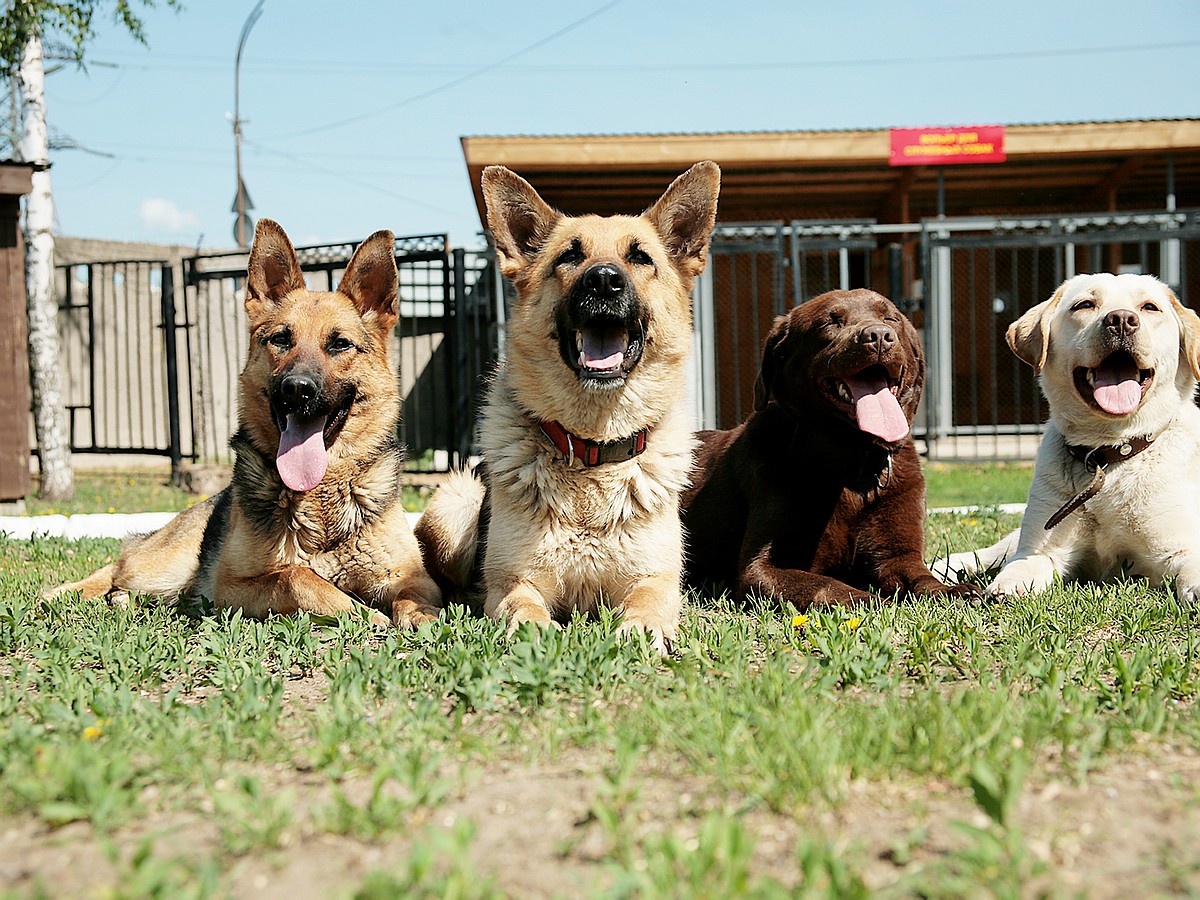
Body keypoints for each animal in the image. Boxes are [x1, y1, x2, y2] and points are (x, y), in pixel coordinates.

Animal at [52, 220, 441, 628]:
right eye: (281, 339)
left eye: (339, 344)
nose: (297, 389)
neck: (320, 498)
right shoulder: (231, 586)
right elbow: (297, 576)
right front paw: (363, 613)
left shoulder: (417, 581)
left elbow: (414, 601)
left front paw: (421, 620)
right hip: (163, 568)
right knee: (118, 566)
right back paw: (69, 594)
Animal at [417, 164, 715, 657]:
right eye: (569, 257)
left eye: (640, 257)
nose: (604, 280)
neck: (592, 449)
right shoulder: (513, 581)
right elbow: (520, 603)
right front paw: (532, 631)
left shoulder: (658, 580)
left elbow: (649, 602)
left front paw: (641, 629)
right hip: (456, 502)